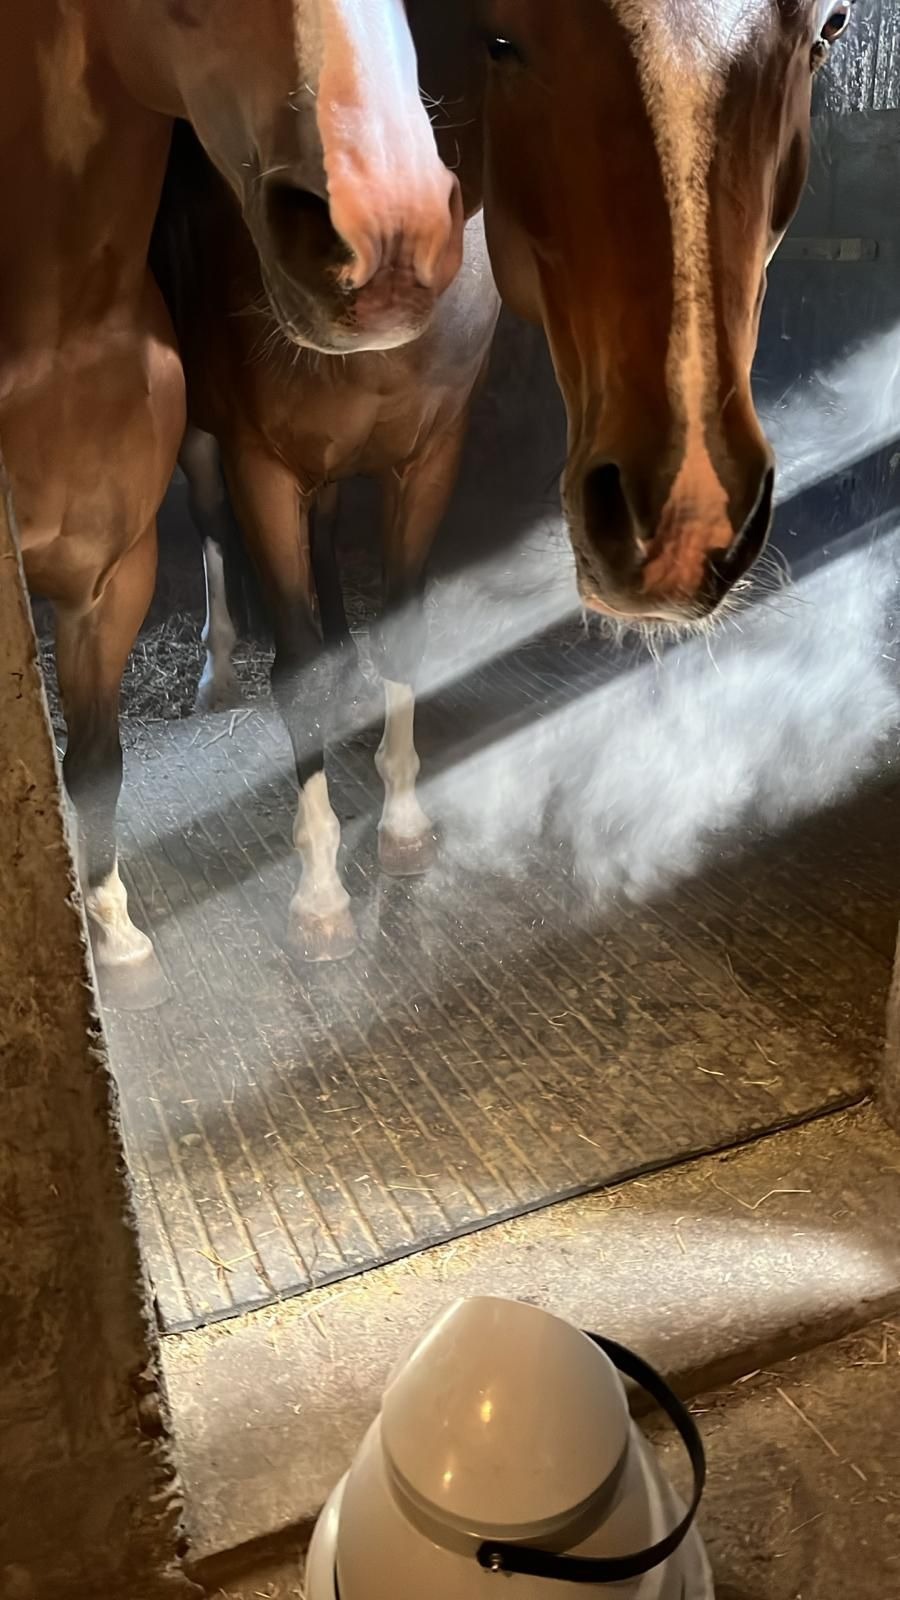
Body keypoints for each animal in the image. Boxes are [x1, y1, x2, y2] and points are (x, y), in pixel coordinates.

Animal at [153, 124, 501, 960]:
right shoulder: (263, 467)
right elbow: (296, 672)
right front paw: (319, 894)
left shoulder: (431, 455)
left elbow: (401, 635)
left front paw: (404, 823)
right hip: (206, 440)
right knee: (211, 525)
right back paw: (218, 672)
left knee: (326, 527)